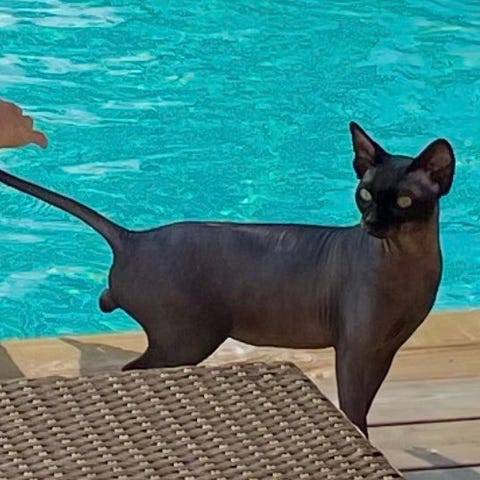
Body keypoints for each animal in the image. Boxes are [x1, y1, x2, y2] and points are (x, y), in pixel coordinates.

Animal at [0, 122, 455, 436]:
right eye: (364, 194)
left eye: (403, 201)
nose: (371, 223)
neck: (405, 262)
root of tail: (133, 238)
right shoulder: (355, 349)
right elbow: (354, 412)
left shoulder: (384, 351)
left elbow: (364, 408)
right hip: (188, 340)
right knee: (132, 368)